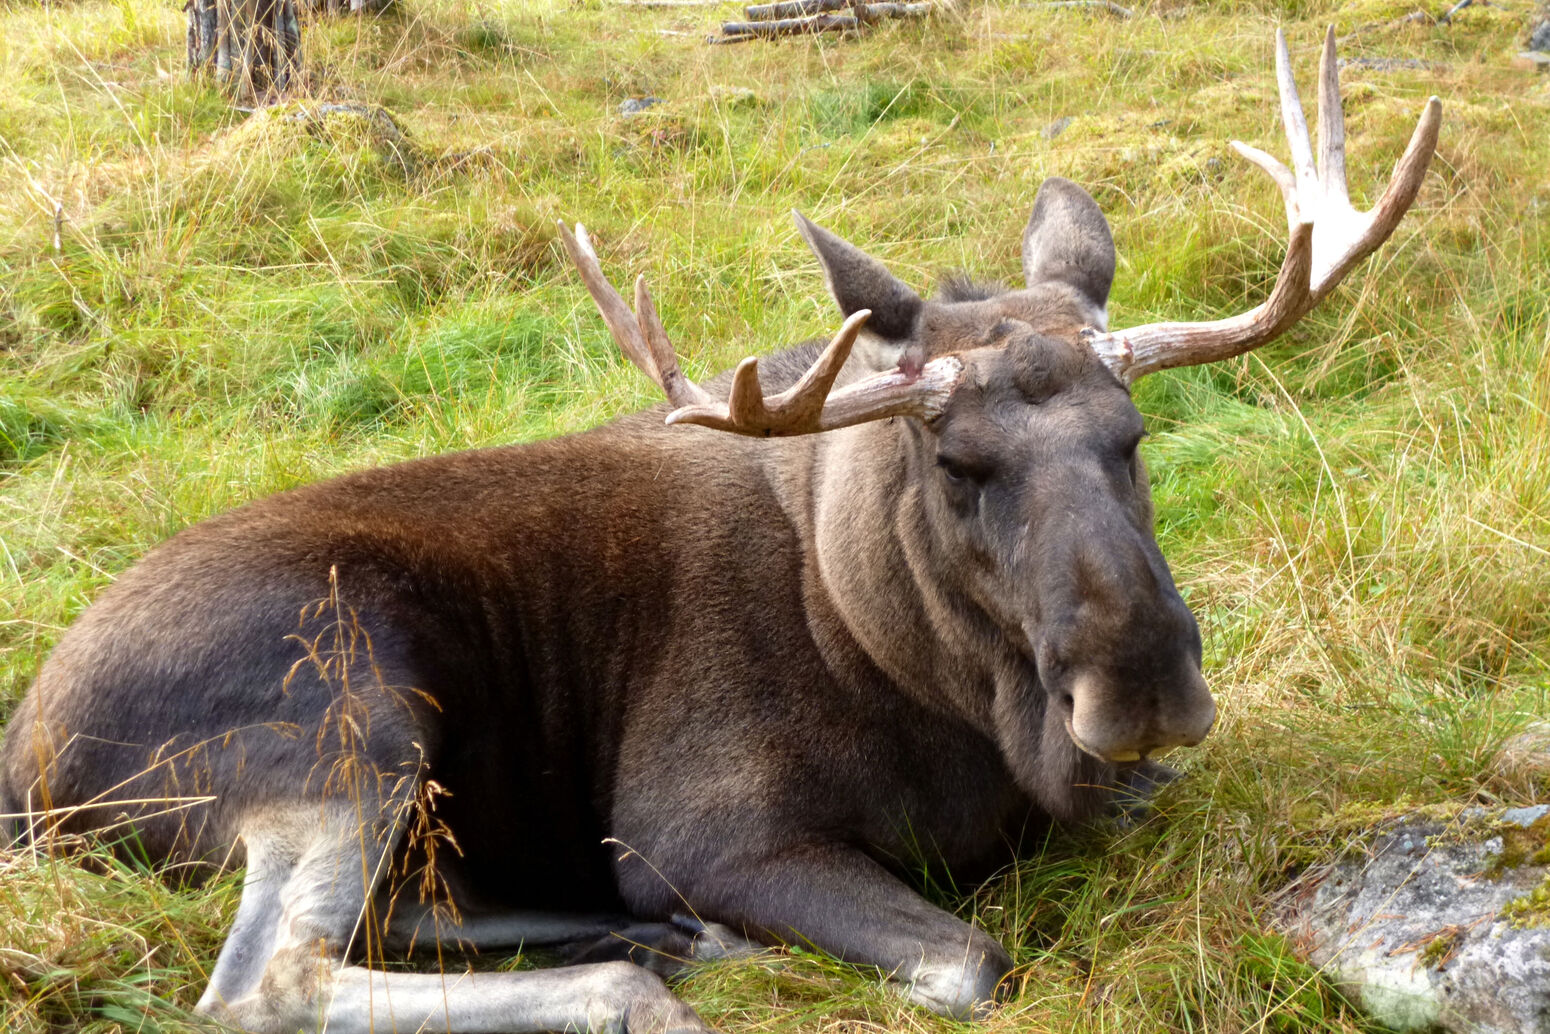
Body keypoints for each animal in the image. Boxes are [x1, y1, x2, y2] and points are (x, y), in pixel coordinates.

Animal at [0, 32, 1438, 1034]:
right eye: (954, 461)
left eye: (1132, 434)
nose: (1136, 683)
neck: (930, 682)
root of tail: (26, 761)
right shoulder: (706, 827)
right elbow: (967, 957)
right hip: (350, 714)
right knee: (269, 976)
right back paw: (637, 975)